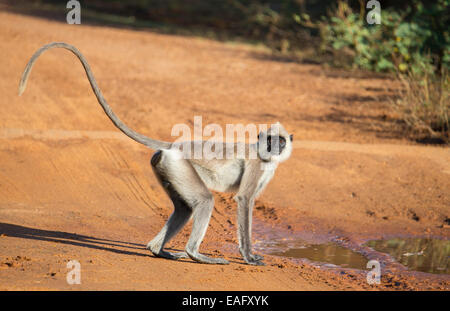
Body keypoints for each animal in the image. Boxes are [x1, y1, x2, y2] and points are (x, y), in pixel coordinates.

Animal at [17, 42, 294, 266]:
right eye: (271, 140)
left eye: (280, 141)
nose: (276, 147)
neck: (264, 155)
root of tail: (174, 146)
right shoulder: (258, 164)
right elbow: (244, 200)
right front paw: (249, 257)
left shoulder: (268, 169)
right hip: (179, 165)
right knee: (204, 201)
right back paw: (194, 254)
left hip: (168, 167)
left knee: (185, 208)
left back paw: (158, 250)